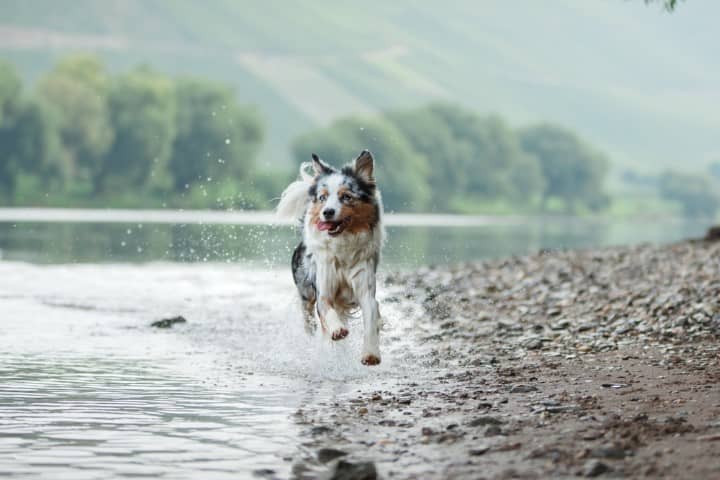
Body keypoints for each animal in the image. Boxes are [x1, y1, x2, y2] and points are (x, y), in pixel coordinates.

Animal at [278, 152, 386, 366]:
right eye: (323, 197)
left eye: (346, 197)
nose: (327, 212)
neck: (343, 246)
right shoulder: (323, 289)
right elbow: (327, 310)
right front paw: (337, 330)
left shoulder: (366, 289)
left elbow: (371, 319)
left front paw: (371, 353)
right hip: (305, 295)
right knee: (310, 321)